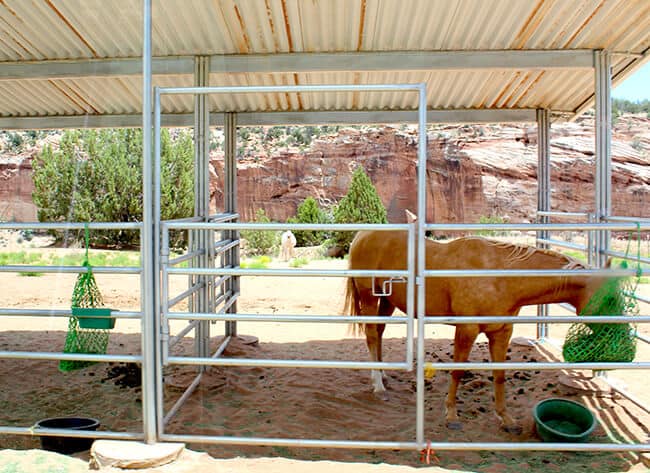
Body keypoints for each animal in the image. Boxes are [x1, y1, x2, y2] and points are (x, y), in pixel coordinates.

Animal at [342, 230, 612, 434]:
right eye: (610, 299)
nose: (612, 340)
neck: (499, 276)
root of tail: (361, 236)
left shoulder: (502, 332)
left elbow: (500, 375)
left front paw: (506, 419)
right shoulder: (467, 330)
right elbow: (458, 372)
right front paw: (451, 415)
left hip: (387, 301)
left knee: (378, 333)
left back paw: (383, 375)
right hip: (369, 297)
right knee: (371, 335)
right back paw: (378, 386)